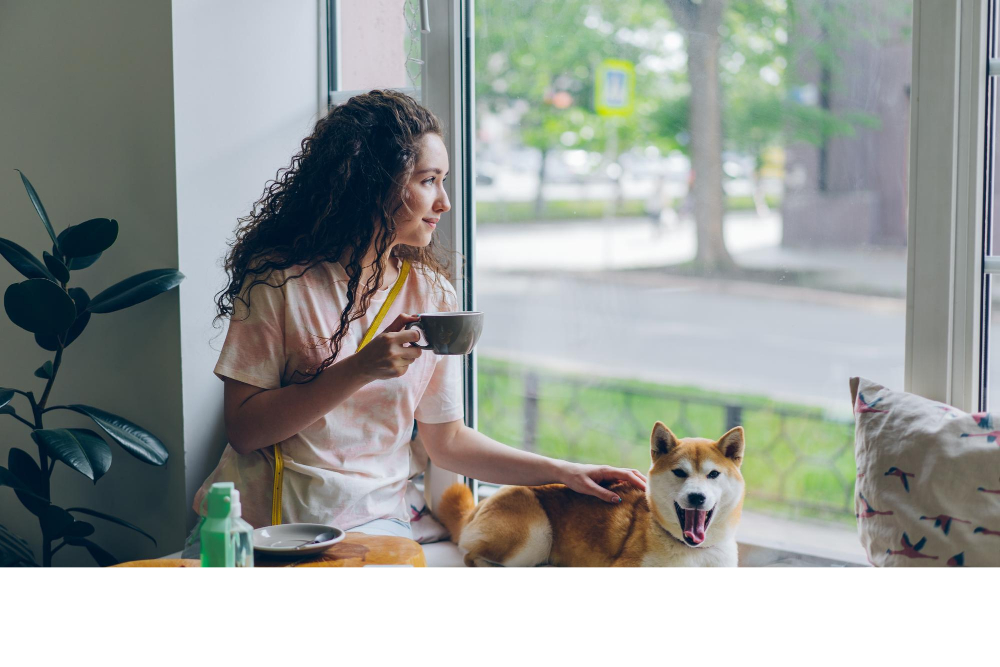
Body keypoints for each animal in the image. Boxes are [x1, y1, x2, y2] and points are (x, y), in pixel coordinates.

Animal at [436, 422, 744, 568]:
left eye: (713, 474)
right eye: (680, 472)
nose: (696, 497)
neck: (694, 552)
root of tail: (478, 507)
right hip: (534, 538)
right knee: (472, 557)